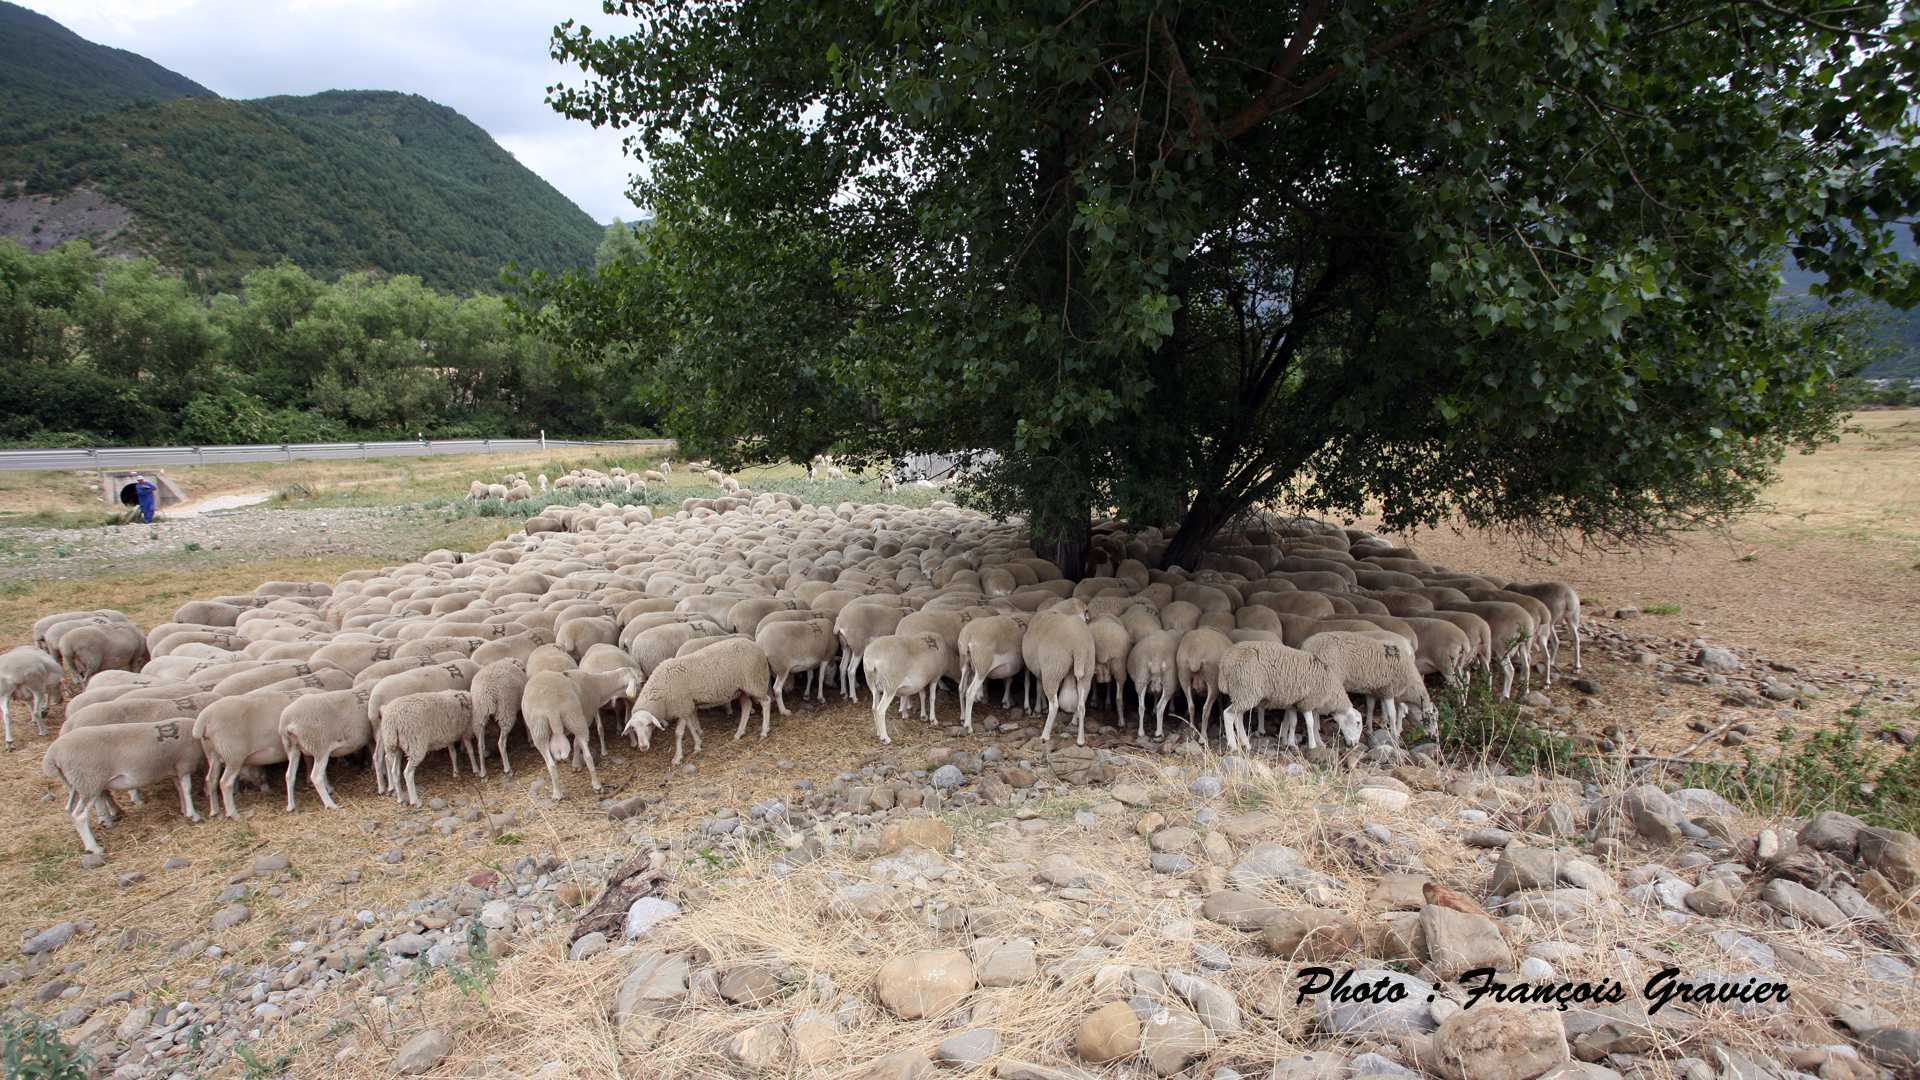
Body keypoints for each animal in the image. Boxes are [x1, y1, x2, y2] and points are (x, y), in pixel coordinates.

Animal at [44, 714, 207, 849]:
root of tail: (52, 756)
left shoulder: (175, 767)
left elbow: (180, 789)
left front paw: (184, 810)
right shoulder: (185, 763)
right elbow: (186, 789)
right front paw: (193, 814)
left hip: (77, 784)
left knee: (71, 810)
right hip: (89, 780)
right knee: (79, 816)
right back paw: (94, 848)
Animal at [633, 634, 775, 760]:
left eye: (648, 725)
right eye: (633, 728)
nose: (643, 747)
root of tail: (757, 647)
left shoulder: (681, 706)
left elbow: (678, 734)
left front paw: (677, 757)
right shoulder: (686, 706)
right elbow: (690, 726)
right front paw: (697, 744)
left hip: (754, 682)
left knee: (766, 702)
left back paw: (764, 731)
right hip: (741, 688)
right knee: (746, 706)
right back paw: (739, 733)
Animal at [1021, 595, 1098, 737]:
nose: (1089, 618)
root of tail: (1079, 645)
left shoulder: (1039, 668)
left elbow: (1038, 688)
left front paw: (1038, 709)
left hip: (1053, 668)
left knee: (1055, 705)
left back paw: (1045, 735)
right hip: (1087, 668)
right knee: (1081, 704)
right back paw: (1080, 737)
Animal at [1213, 638, 1367, 749]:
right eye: (1358, 722)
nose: (1355, 744)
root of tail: (1225, 662)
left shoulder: (1294, 702)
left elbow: (1293, 723)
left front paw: (1291, 743)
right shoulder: (1308, 701)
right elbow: (1310, 723)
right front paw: (1312, 745)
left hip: (1243, 693)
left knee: (1238, 718)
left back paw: (1246, 743)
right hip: (1247, 690)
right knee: (1228, 715)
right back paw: (1233, 745)